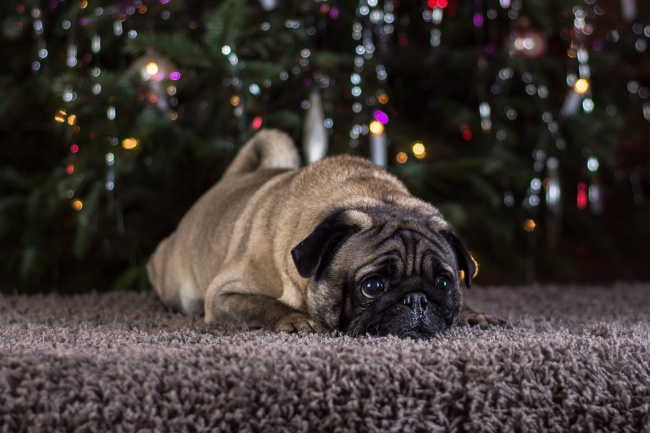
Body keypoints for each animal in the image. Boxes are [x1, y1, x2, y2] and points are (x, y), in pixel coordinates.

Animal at [147, 128, 502, 338]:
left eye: (444, 282)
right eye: (372, 286)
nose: (417, 298)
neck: (371, 197)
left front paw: (472, 314)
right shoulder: (223, 296)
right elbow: (264, 305)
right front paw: (294, 319)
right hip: (181, 289)